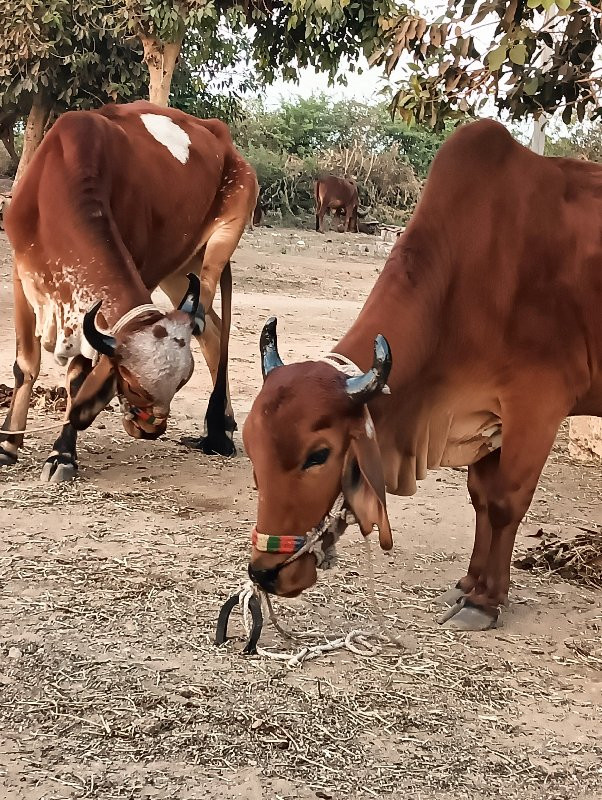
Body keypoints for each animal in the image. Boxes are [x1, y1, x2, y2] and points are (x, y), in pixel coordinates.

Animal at [0, 100, 258, 482]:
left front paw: (63, 455)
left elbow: (78, 378)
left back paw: (220, 428)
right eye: (133, 385)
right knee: (210, 329)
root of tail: (221, 135)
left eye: (182, 382)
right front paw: (8, 444)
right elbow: (25, 366)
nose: (152, 429)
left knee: (206, 324)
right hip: (180, 269)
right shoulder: (23, 276)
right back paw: (220, 427)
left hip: (220, 242)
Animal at [243, 119, 600, 632]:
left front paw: (485, 600)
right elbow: (480, 498)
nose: (266, 573)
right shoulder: (484, 415)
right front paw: (468, 584)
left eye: (319, 455)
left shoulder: (536, 406)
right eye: (250, 450)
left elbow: (505, 502)